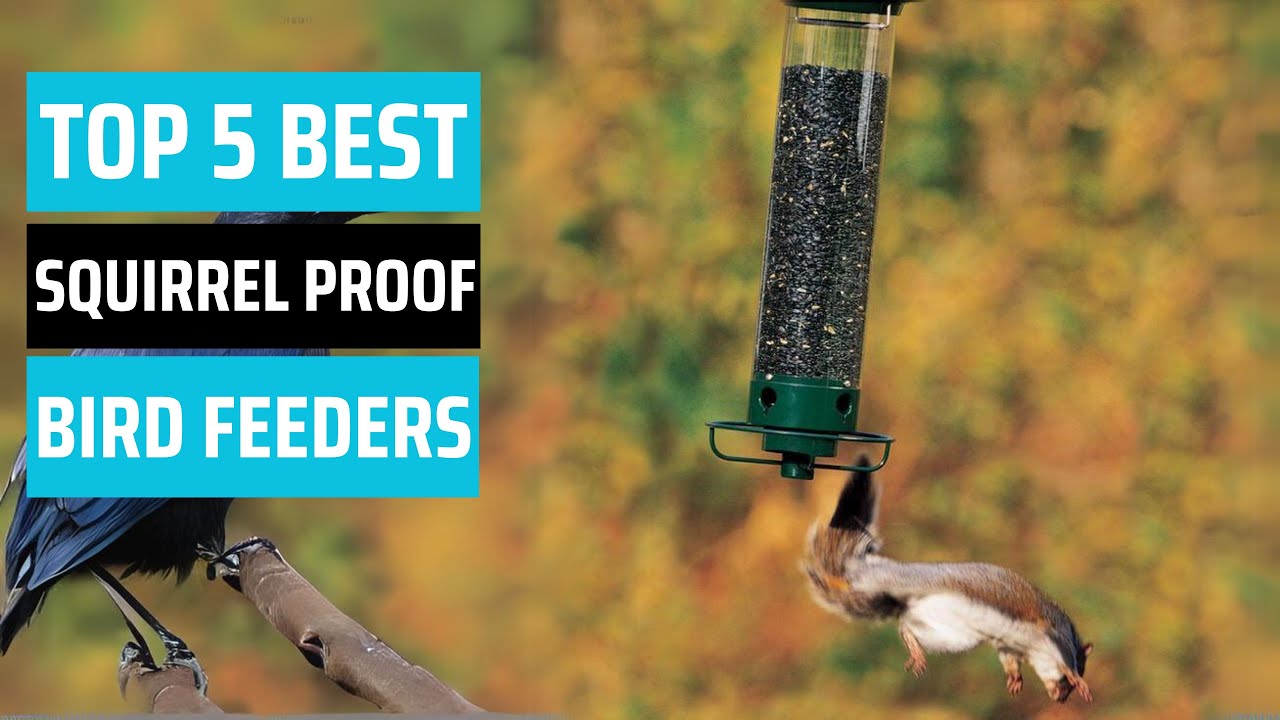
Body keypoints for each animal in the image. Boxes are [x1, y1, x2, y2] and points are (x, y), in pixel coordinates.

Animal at [802, 460, 1093, 703]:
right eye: (1066, 683)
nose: (1060, 699)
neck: (1032, 649)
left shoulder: (1008, 646)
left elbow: (1010, 662)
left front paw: (1015, 680)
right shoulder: (1052, 633)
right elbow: (1064, 661)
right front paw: (1078, 680)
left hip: (950, 634)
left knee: (906, 626)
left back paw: (915, 650)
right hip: (888, 581)